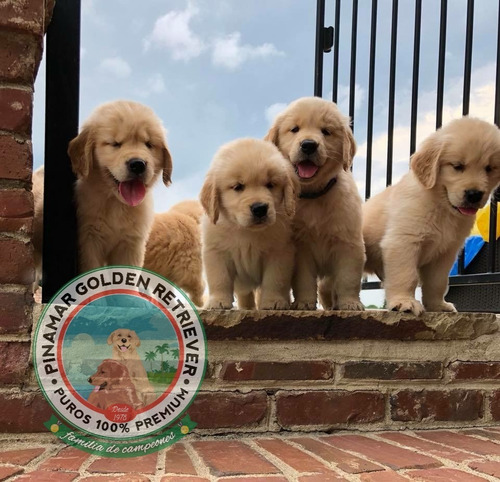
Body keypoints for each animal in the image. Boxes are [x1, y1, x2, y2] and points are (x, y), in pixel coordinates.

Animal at [67, 100, 172, 274]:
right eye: (115, 144)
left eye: (149, 144)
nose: (138, 164)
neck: (116, 204)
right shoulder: (89, 240)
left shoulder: (131, 244)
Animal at [199, 137, 298, 310]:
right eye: (238, 187)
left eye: (270, 184)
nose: (260, 208)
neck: (246, 231)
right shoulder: (215, 251)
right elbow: (219, 279)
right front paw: (218, 301)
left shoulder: (280, 252)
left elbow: (275, 280)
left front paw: (273, 301)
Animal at [364, 117, 500, 316]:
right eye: (457, 166)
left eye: (489, 168)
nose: (474, 194)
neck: (441, 206)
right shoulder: (403, 242)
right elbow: (406, 275)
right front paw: (404, 301)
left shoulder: (445, 253)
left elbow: (438, 282)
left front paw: (437, 305)